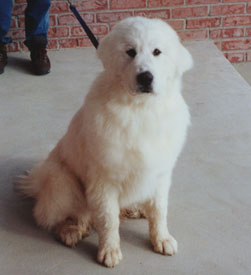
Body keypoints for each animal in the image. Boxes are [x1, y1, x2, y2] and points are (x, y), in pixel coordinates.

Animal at [17, 16, 193, 268]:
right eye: (130, 52)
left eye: (157, 52)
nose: (145, 77)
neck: (140, 109)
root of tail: (37, 181)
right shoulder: (104, 179)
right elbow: (108, 219)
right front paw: (109, 251)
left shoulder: (159, 172)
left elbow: (159, 211)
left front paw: (162, 239)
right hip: (62, 182)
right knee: (67, 215)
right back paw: (70, 231)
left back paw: (135, 209)